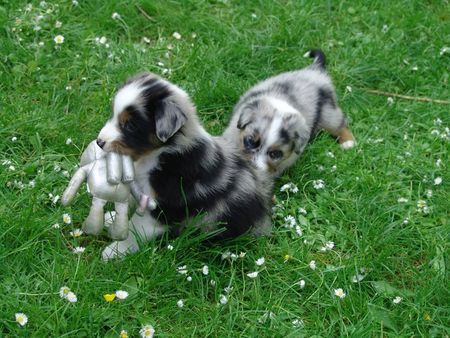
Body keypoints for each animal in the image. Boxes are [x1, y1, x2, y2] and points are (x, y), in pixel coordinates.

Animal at [97, 73, 272, 258]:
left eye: (130, 125)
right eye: (113, 114)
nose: (99, 142)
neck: (158, 154)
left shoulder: (162, 205)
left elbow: (135, 227)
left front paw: (115, 251)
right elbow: (130, 200)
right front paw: (111, 218)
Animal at [222, 50, 356, 177]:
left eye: (275, 154)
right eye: (250, 141)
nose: (254, 170)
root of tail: (315, 71)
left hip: (328, 113)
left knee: (339, 125)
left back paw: (349, 143)